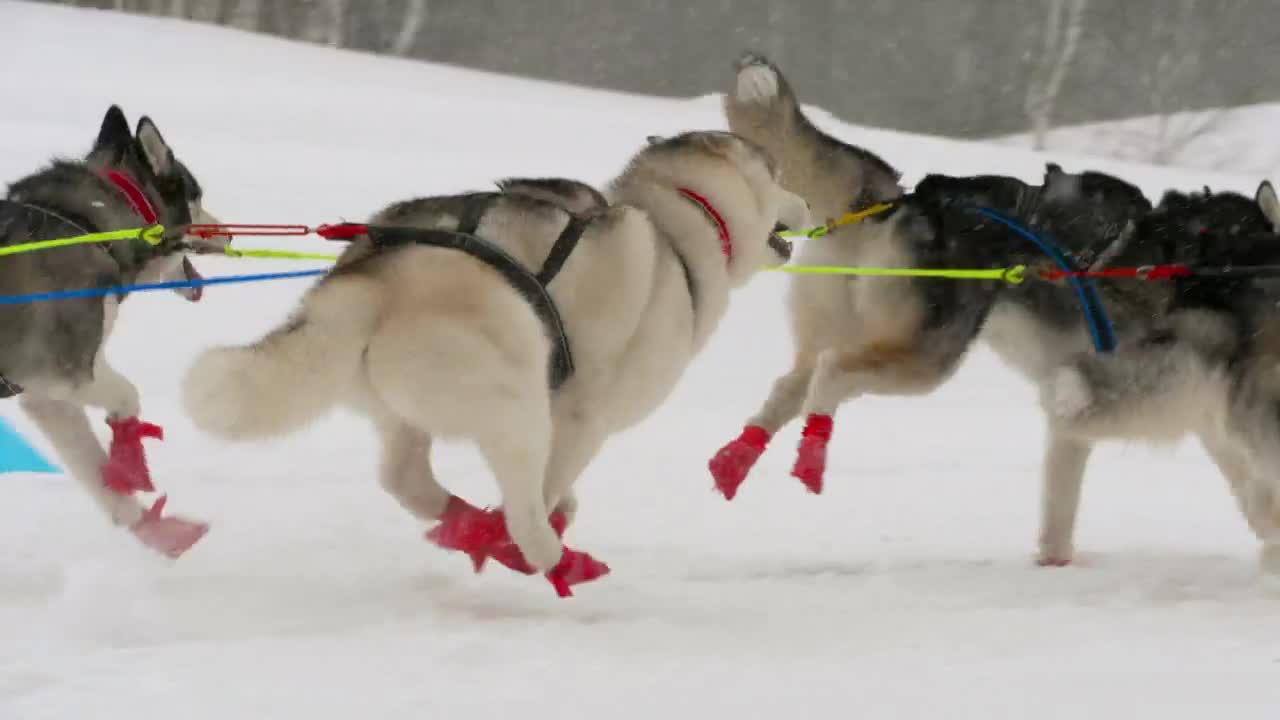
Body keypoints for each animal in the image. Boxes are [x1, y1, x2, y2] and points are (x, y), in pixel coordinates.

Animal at [0, 105, 227, 556]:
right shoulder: (61, 373)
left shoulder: (44, 397)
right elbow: (127, 395)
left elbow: (98, 476)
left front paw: (151, 526)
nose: (227, 232)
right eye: (198, 198)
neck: (92, 225)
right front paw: (129, 458)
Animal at [183, 131, 808, 591]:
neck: (678, 224)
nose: (805, 201)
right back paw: (548, 556)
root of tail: (378, 276)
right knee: (523, 512)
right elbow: (552, 487)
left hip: (406, 406)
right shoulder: (584, 418)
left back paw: (466, 525)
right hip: (519, 392)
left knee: (406, 479)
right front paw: (530, 532)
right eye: (779, 173)